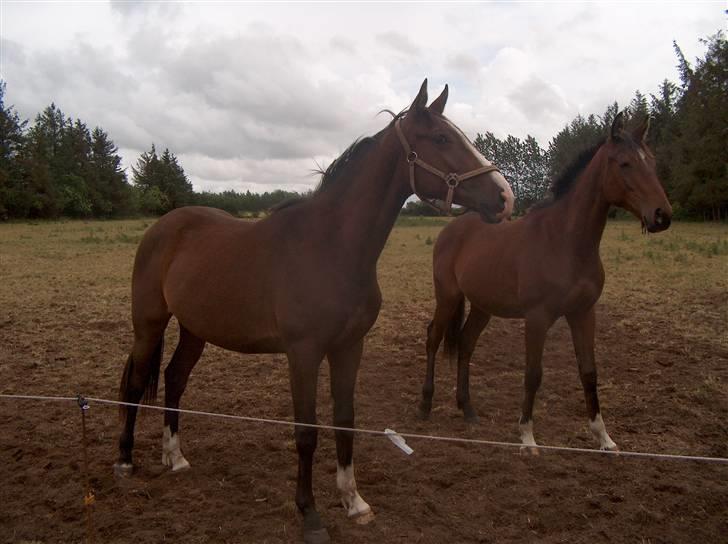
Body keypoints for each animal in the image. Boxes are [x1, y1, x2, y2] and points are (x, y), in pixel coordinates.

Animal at [115, 79, 512, 544]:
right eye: (442, 138)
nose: (505, 196)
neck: (331, 247)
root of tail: (163, 226)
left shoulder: (349, 348)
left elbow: (345, 420)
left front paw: (353, 501)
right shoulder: (303, 354)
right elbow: (307, 432)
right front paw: (310, 513)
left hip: (196, 329)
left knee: (174, 379)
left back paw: (174, 457)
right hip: (149, 323)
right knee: (136, 382)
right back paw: (125, 460)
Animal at [418, 113, 672, 454]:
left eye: (652, 162)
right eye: (625, 163)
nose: (662, 216)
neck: (564, 241)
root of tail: (451, 229)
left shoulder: (583, 313)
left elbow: (589, 372)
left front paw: (604, 438)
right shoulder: (538, 318)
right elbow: (533, 374)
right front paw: (527, 438)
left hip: (483, 306)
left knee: (466, 344)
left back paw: (468, 410)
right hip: (446, 297)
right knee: (433, 338)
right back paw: (425, 406)